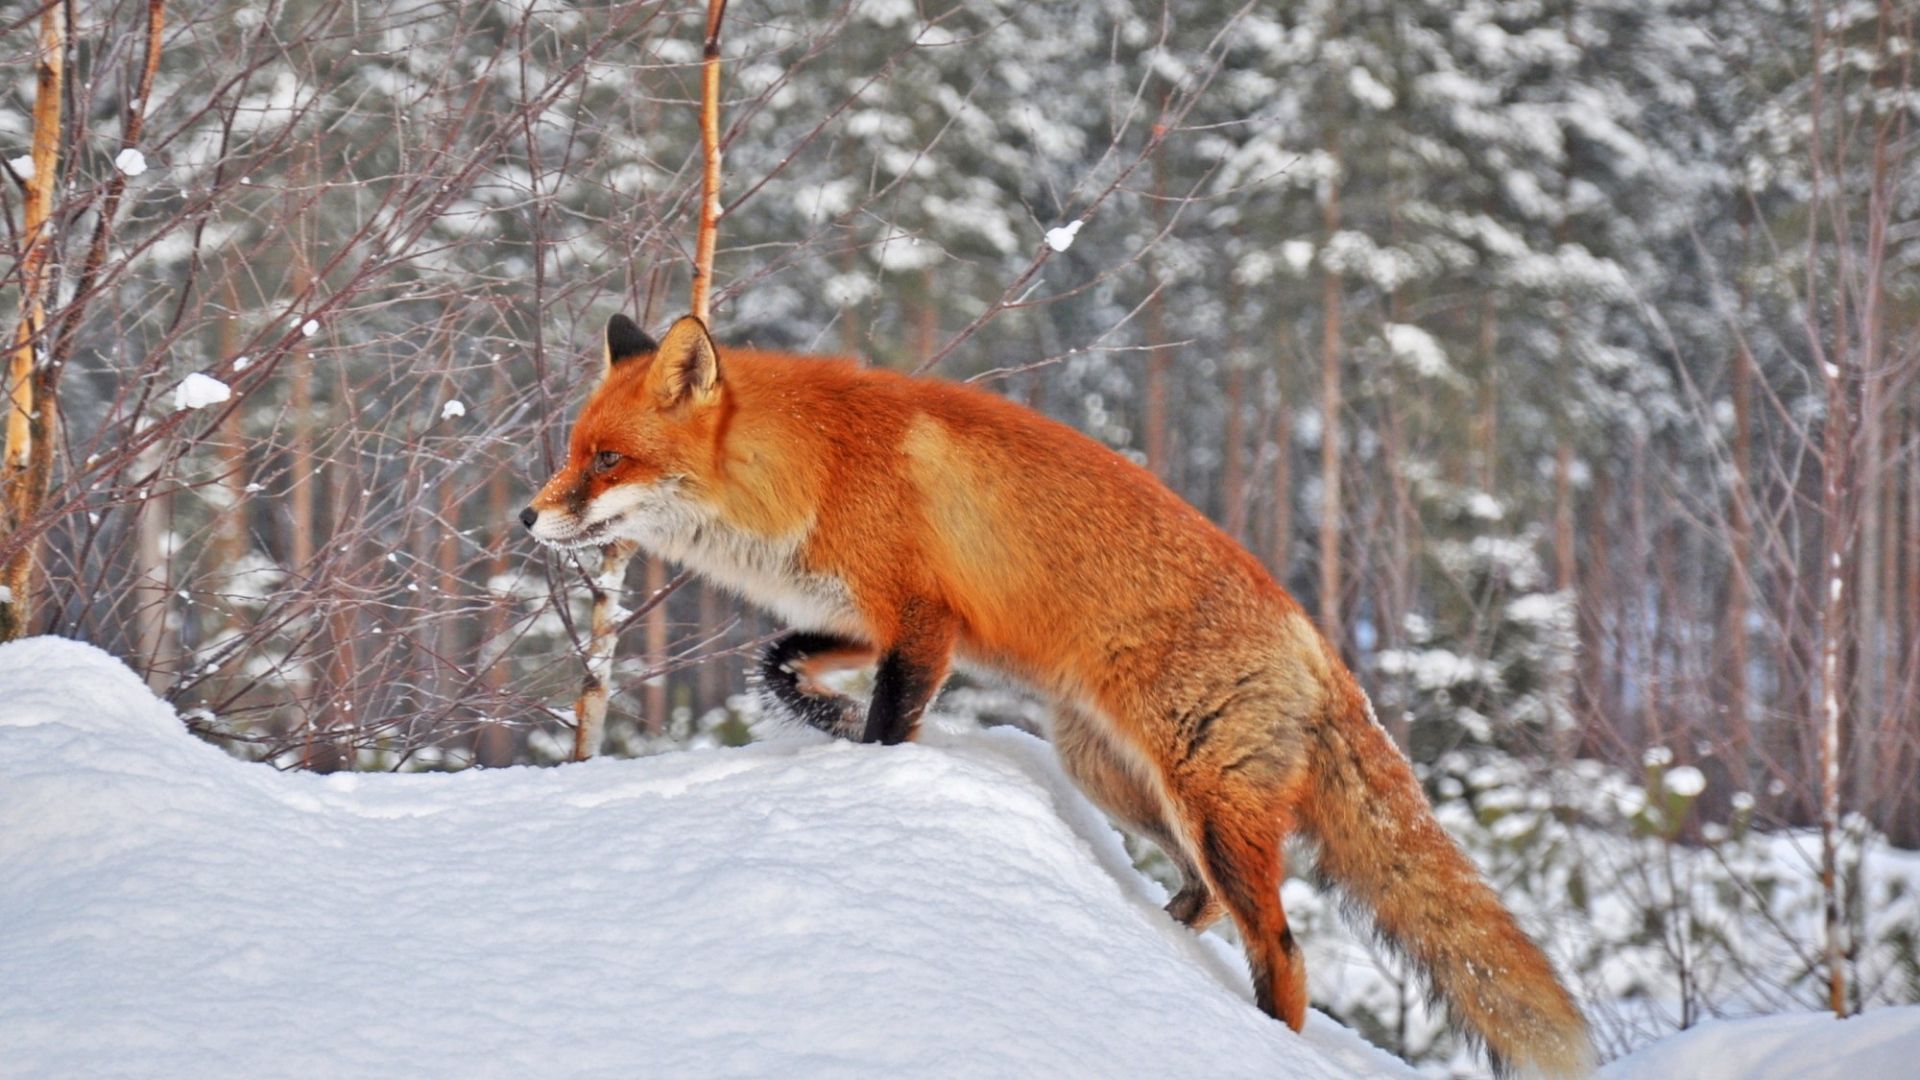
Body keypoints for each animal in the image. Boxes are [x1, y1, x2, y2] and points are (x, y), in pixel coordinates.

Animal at [522, 312, 1594, 1077]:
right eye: (573, 449)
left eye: (606, 459)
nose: (528, 517)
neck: (811, 467)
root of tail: (1318, 644)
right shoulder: (872, 617)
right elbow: (776, 661)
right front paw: (821, 718)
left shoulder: (923, 622)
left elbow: (889, 727)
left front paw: (867, 766)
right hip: (1117, 778)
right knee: (1204, 902)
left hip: (1206, 803)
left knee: (1283, 952)